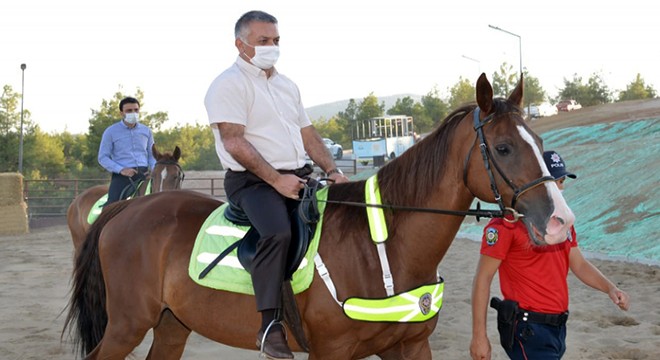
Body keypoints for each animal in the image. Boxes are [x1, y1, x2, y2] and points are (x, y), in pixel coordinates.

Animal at [64, 74, 576, 360]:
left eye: (537, 139)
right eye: (504, 148)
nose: (559, 221)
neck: (382, 245)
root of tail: (128, 207)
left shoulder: (408, 347)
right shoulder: (331, 352)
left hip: (172, 324)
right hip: (126, 325)